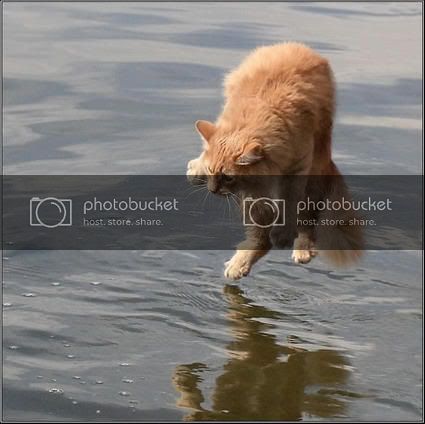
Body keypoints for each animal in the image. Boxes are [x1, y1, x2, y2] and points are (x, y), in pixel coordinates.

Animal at [187, 42, 363, 280]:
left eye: (228, 177)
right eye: (212, 172)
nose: (212, 190)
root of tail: (298, 45)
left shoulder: (297, 170)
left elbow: (289, 206)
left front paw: (283, 234)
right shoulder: (253, 192)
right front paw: (199, 168)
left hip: (313, 175)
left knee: (305, 224)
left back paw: (300, 249)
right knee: (261, 239)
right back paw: (240, 263)